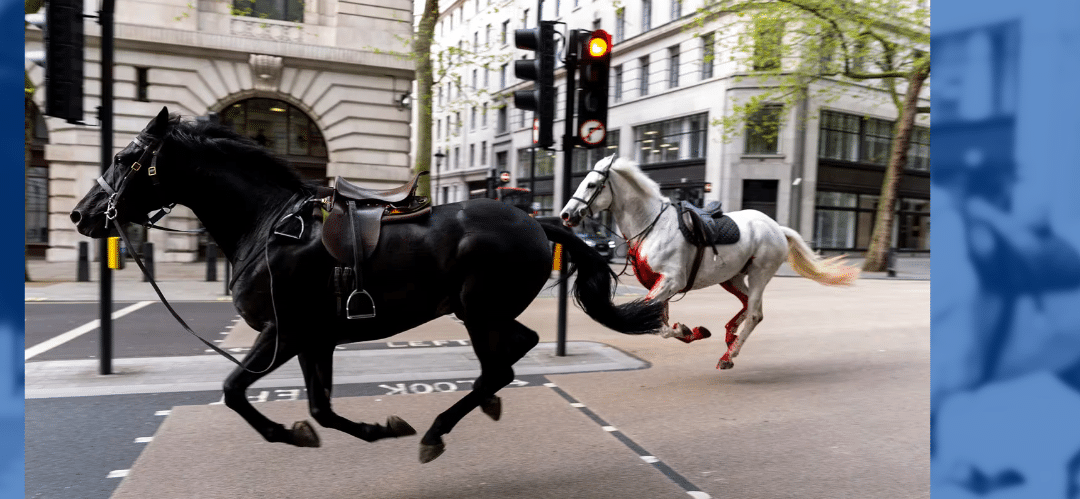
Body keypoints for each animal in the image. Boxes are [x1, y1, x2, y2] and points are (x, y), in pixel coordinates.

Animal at [70, 107, 665, 463]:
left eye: (124, 158)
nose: (81, 215)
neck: (267, 225)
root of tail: (537, 222)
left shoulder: (284, 332)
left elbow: (235, 390)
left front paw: (286, 433)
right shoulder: (315, 339)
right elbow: (320, 408)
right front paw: (372, 428)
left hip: (478, 310)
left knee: (502, 362)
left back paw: (438, 430)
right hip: (483, 312)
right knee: (513, 353)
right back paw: (480, 406)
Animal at [560, 155, 860, 370]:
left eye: (591, 184)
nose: (566, 214)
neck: (652, 226)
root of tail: (776, 227)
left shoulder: (671, 281)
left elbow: (653, 322)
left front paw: (685, 329)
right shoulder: (660, 284)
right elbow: (659, 322)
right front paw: (691, 331)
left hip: (760, 273)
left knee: (755, 313)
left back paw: (729, 355)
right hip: (732, 277)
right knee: (747, 305)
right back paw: (730, 337)